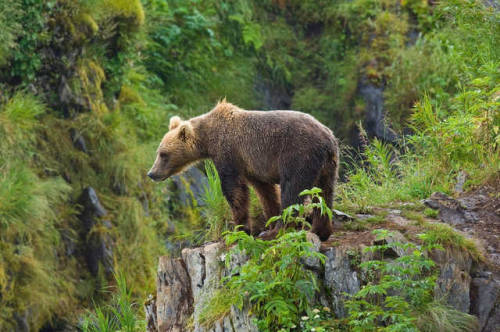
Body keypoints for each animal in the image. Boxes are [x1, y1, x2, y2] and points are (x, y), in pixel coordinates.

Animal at [146, 100, 338, 240]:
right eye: (158, 152)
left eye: (163, 154)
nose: (152, 173)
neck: (208, 139)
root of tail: (327, 139)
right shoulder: (252, 166)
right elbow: (265, 192)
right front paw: (269, 220)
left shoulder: (229, 152)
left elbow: (234, 190)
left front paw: (240, 229)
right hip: (327, 165)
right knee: (324, 193)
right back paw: (320, 230)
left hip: (297, 155)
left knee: (293, 189)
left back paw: (277, 232)